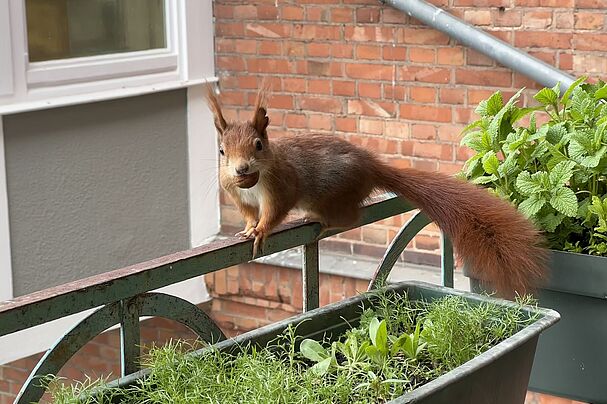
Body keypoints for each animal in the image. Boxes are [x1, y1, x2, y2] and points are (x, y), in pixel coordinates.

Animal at [207, 83, 548, 296]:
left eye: (258, 145)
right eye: (222, 151)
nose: (241, 169)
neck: (254, 181)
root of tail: (371, 167)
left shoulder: (281, 185)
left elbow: (275, 211)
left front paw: (262, 230)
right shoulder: (235, 192)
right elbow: (248, 213)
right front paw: (248, 228)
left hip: (332, 194)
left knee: (350, 217)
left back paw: (322, 222)